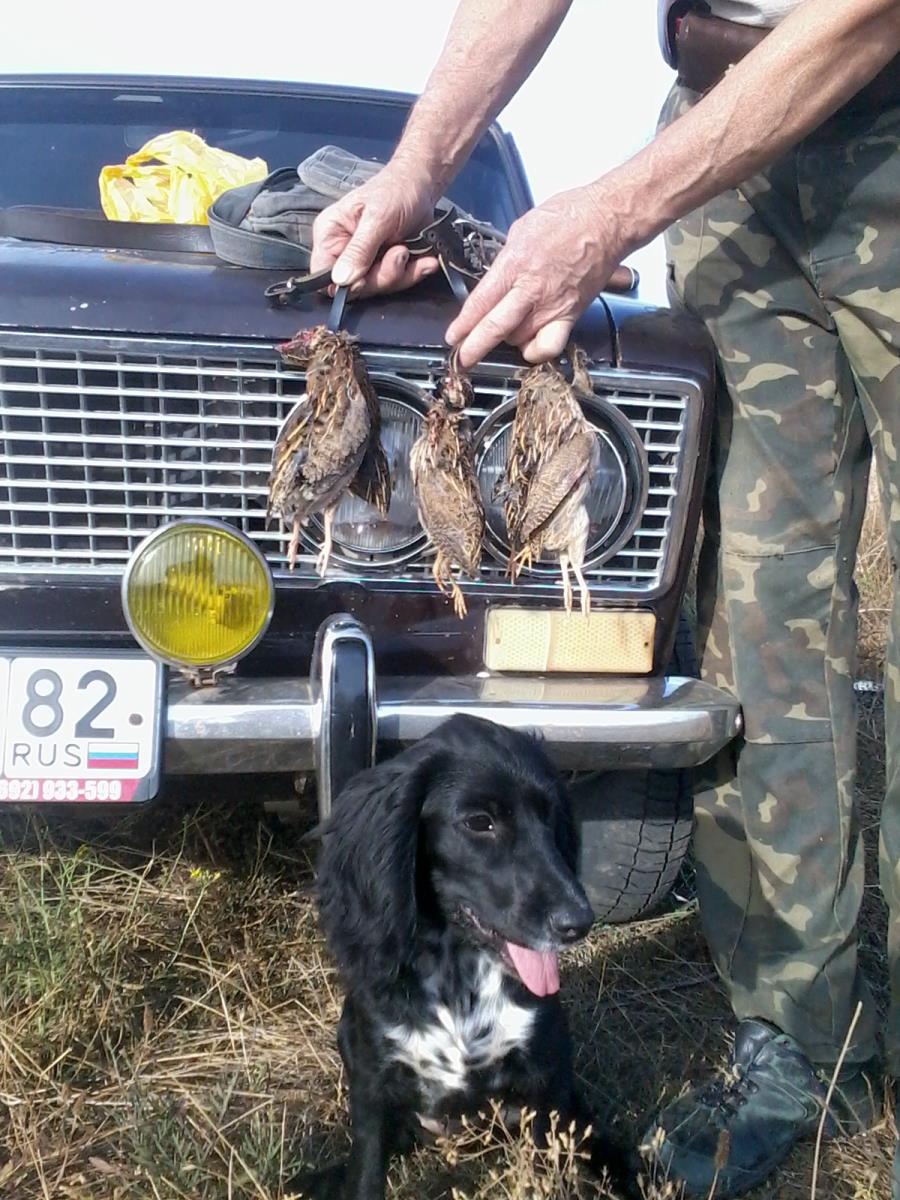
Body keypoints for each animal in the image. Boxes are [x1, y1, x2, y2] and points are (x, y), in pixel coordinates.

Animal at [295, 714, 634, 1200]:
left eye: (552, 815)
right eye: (479, 822)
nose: (578, 922)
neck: (460, 973)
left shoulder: (545, 1082)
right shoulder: (371, 1081)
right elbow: (365, 1172)